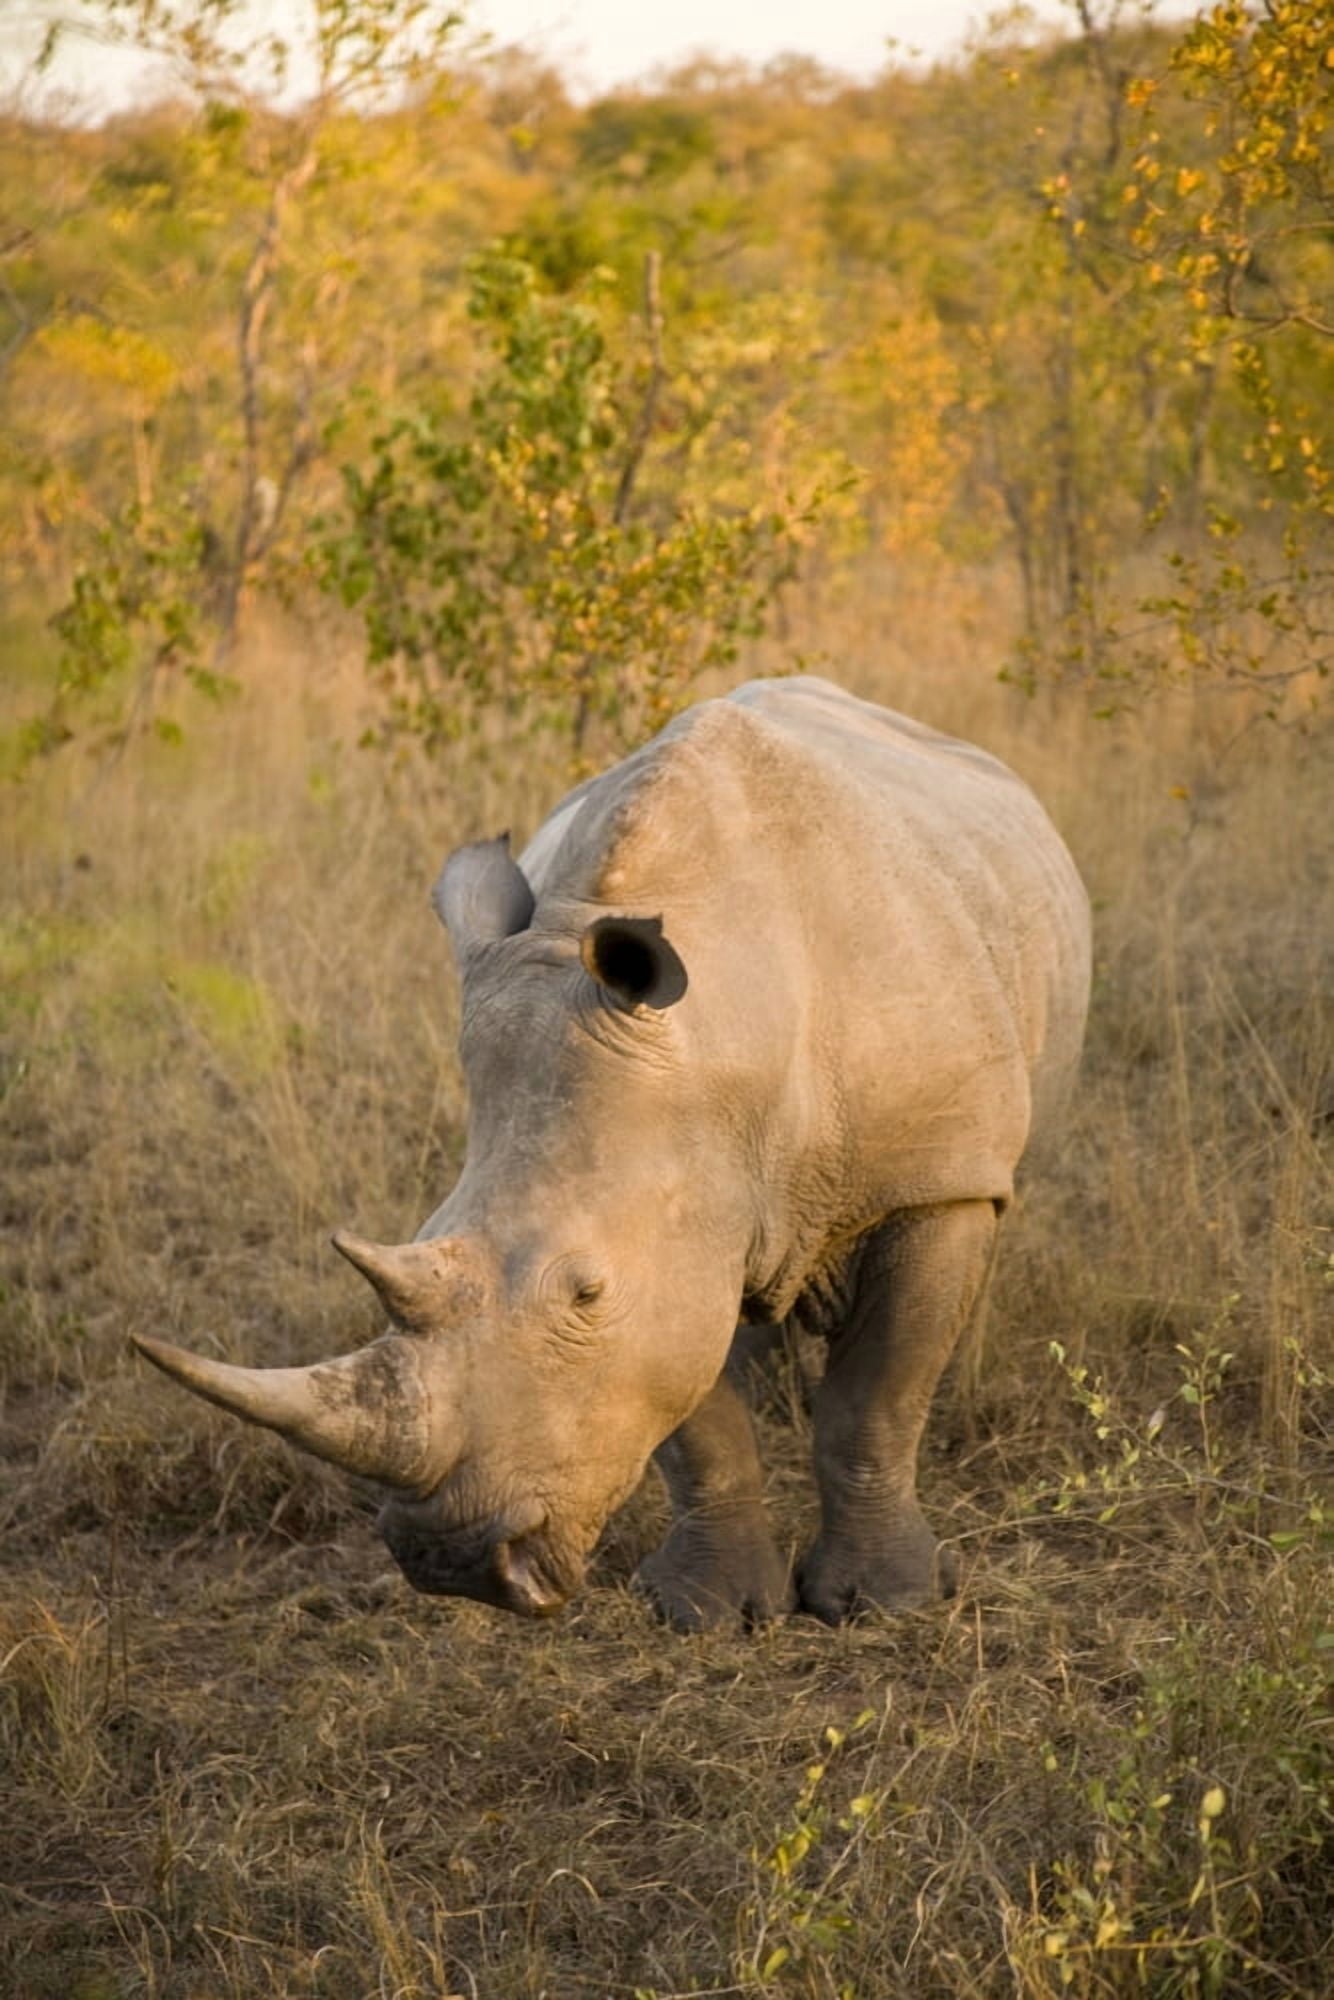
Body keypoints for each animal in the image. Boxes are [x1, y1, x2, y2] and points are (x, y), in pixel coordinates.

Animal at [136, 677, 1091, 1628]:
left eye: (585, 1293)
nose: (452, 1561)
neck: (726, 1046)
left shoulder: (932, 1177)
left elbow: (879, 1400)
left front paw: (886, 1604)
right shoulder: (681, 1208)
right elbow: (696, 1416)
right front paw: (708, 1613)